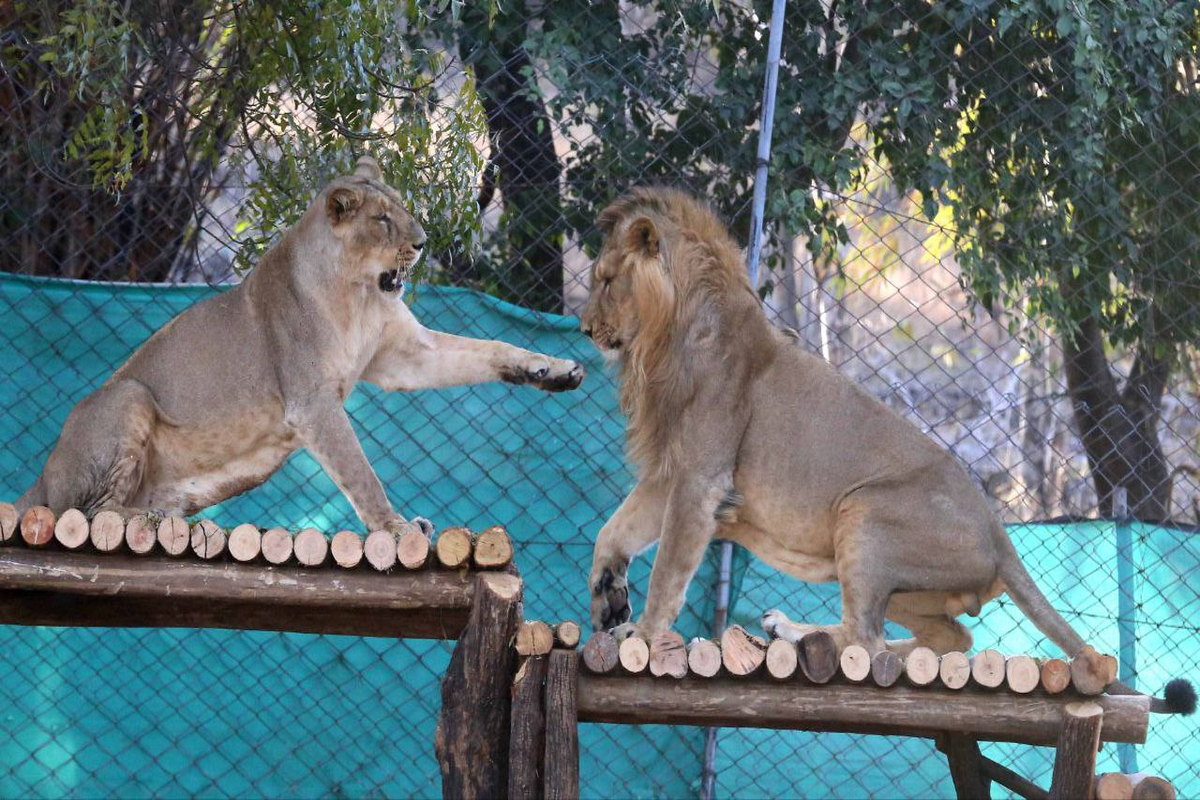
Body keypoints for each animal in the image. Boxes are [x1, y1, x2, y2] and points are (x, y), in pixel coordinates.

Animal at [16, 154, 583, 532]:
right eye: (382, 219)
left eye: (402, 209)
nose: (422, 244)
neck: (358, 292)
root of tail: (41, 477)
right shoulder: (311, 402)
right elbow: (361, 473)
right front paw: (396, 530)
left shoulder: (404, 357)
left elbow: (490, 348)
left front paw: (551, 369)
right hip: (127, 398)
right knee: (88, 512)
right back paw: (150, 519)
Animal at [580, 188, 1190, 714]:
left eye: (606, 280)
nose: (584, 328)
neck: (664, 343)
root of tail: (1000, 534)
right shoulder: (672, 472)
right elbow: (614, 530)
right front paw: (608, 594)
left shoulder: (701, 478)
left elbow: (668, 569)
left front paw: (644, 634)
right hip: (904, 579)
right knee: (949, 636)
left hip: (864, 513)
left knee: (865, 641)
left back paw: (793, 632)